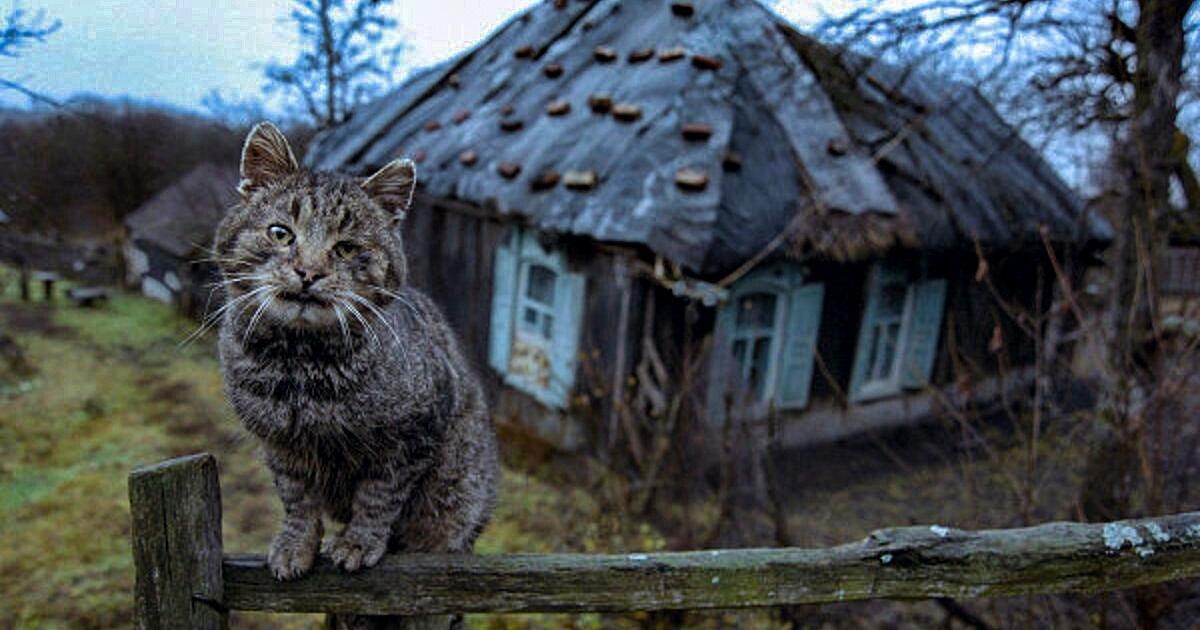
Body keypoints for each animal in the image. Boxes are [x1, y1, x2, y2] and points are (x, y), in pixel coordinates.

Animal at [213, 121, 499, 580]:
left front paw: (358, 542)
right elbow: (298, 501)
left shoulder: (409, 440)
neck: (301, 364)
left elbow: (378, 498)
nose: (308, 272)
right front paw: (296, 545)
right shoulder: (280, 448)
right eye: (280, 233)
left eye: (346, 247)